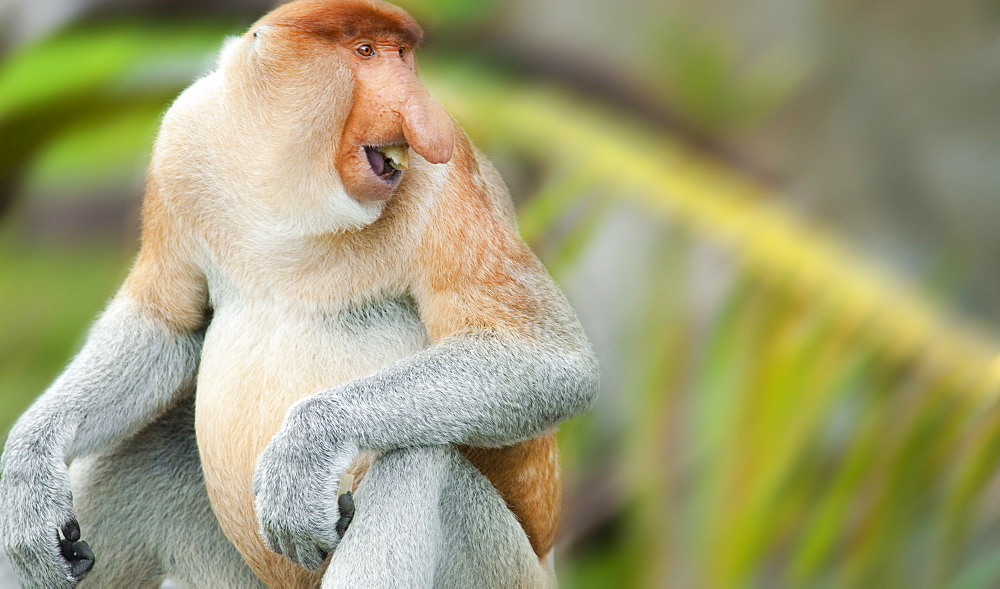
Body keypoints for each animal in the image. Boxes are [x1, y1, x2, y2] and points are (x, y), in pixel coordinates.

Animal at [0, 0, 600, 584]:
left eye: (403, 56)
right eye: (366, 51)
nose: (420, 111)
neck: (288, 186)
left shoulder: (448, 183)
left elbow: (549, 359)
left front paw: (304, 452)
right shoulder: (182, 140)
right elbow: (167, 323)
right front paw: (28, 474)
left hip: (501, 568)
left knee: (418, 456)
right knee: (145, 444)